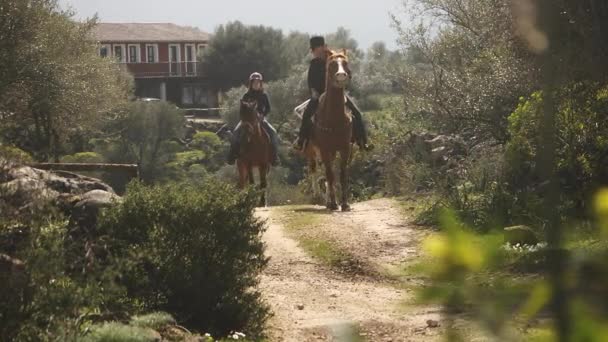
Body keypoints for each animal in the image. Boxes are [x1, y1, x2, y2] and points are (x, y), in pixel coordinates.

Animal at [306, 49, 354, 211]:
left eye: (345, 63)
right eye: (332, 64)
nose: (341, 76)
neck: (334, 119)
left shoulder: (344, 148)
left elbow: (342, 174)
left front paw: (344, 204)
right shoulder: (325, 149)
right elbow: (329, 174)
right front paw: (333, 203)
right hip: (312, 150)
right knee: (314, 169)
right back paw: (319, 196)